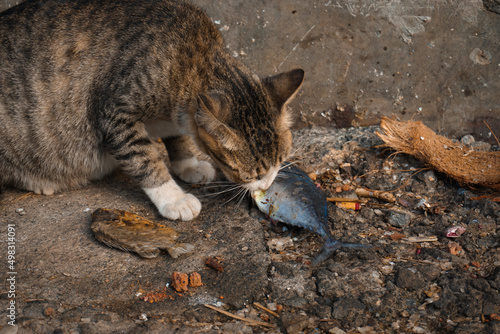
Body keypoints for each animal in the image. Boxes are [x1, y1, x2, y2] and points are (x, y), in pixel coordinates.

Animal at [0, 0, 302, 220]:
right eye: (250, 175)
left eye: (280, 161)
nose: (266, 186)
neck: (192, 57)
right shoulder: (114, 113)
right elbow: (144, 158)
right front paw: (174, 198)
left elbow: (177, 137)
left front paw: (187, 163)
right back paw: (40, 180)